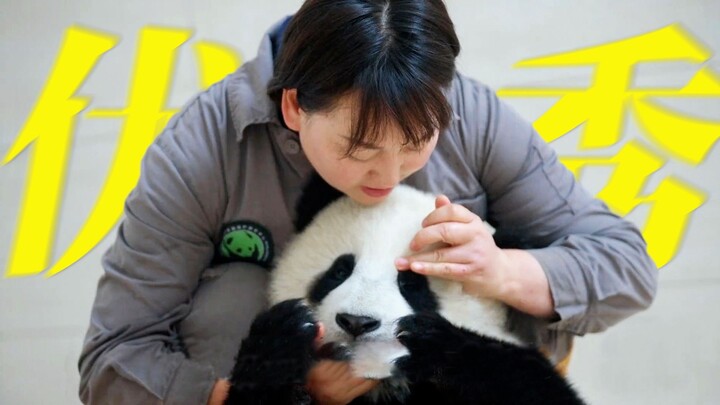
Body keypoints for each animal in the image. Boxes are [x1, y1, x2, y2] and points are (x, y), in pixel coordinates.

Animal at [225, 176, 585, 405]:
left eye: (412, 284)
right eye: (339, 271)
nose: (357, 322)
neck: (379, 384)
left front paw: (434, 342)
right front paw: (282, 336)